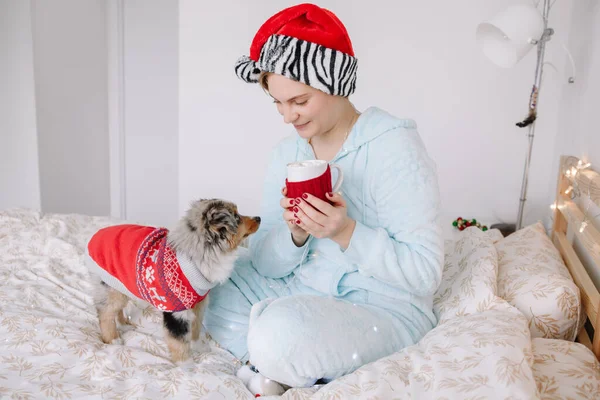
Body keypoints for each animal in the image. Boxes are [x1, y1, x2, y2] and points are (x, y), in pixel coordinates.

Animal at [85, 198, 260, 362]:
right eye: (237, 217)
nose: (258, 217)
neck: (200, 253)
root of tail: (95, 237)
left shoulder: (198, 303)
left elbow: (196, 328)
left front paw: (198, 347)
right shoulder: (177, 311)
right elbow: (178, 341)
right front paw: (186, 364)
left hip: (121, 286)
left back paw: (123, 324)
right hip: (111, 288)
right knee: (105, 312)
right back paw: (112, 339)